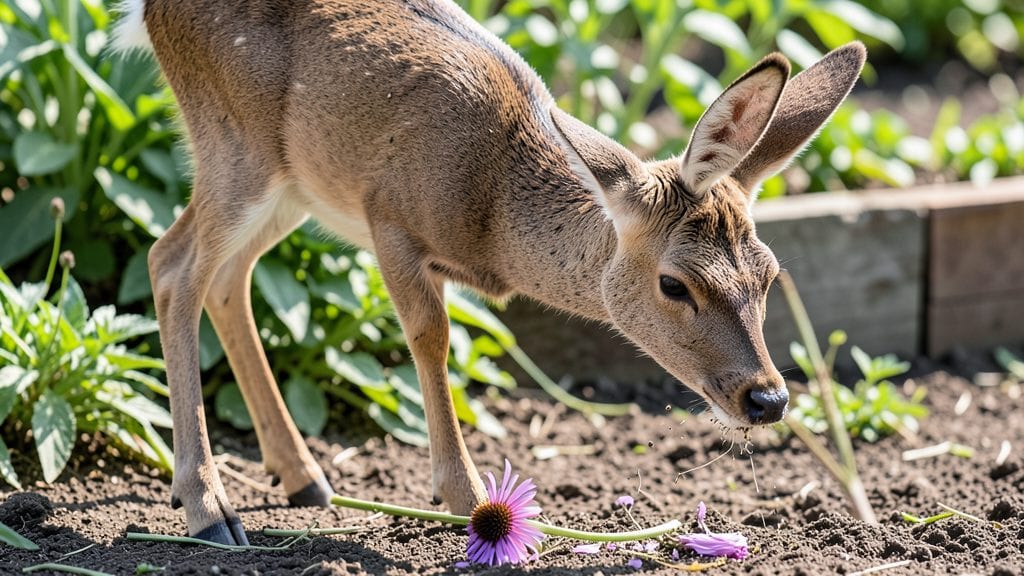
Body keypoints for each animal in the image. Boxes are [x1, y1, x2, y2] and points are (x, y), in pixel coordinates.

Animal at [113, 0, 865, 545]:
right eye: (675, 283)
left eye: (770, 275)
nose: (767, 399)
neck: (493, 217)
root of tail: (145, 9)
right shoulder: (389, 215)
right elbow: (431, 335)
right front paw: (467, 499)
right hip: (232, 139)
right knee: (172, 265)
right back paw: (209, 510)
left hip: (294, 180)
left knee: (226, 277)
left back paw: (303, 477)